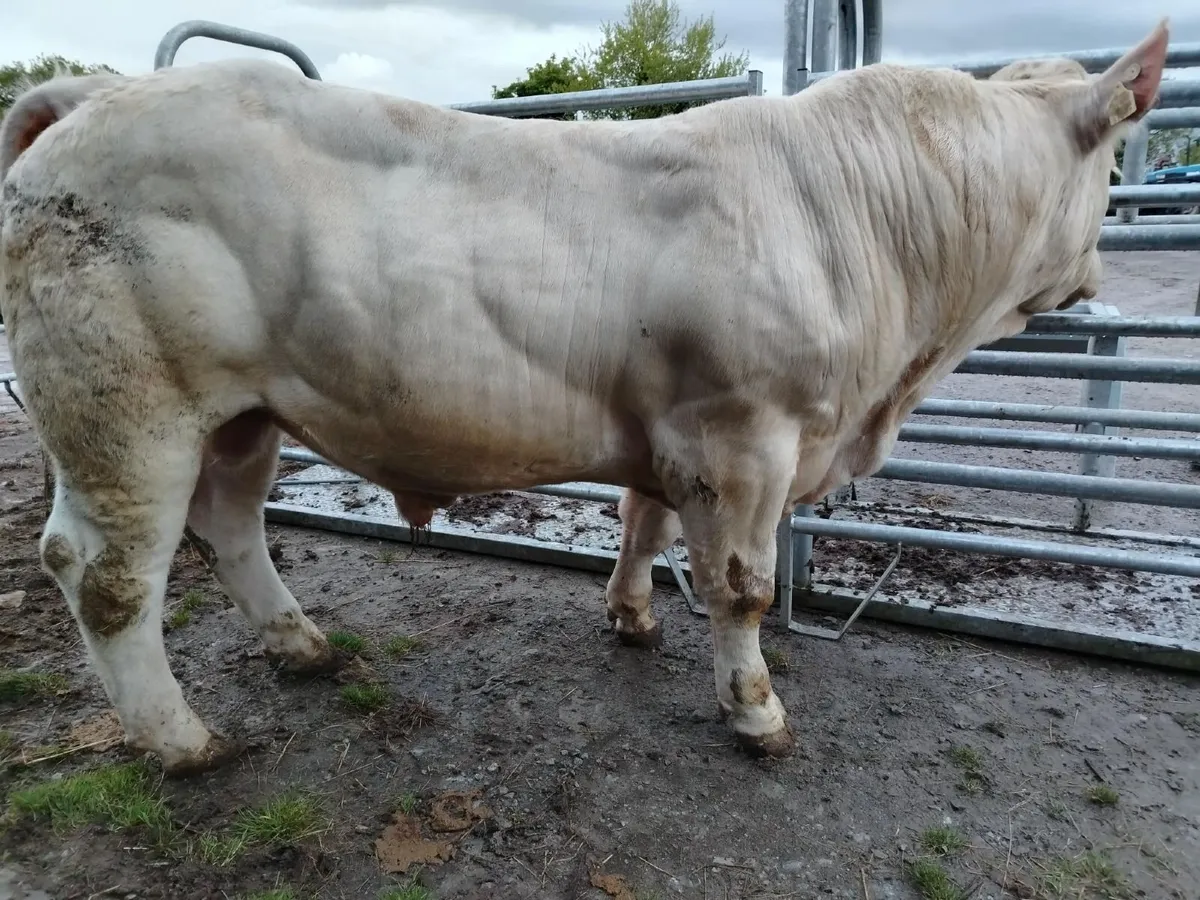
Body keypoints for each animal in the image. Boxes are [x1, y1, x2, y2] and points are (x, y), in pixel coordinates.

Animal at [0, 20, 1169, 776]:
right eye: (1118, 156)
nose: (1095, 275)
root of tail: (95, 92)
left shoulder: (671, 428)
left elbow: (643, 519)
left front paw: (633, 616)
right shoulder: (745, 436)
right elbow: (741, 587)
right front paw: (755, 711)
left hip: (242, 416)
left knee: (233, 525)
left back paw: (303, 646)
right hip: (128, 413)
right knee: (107, 577)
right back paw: (182, 741)